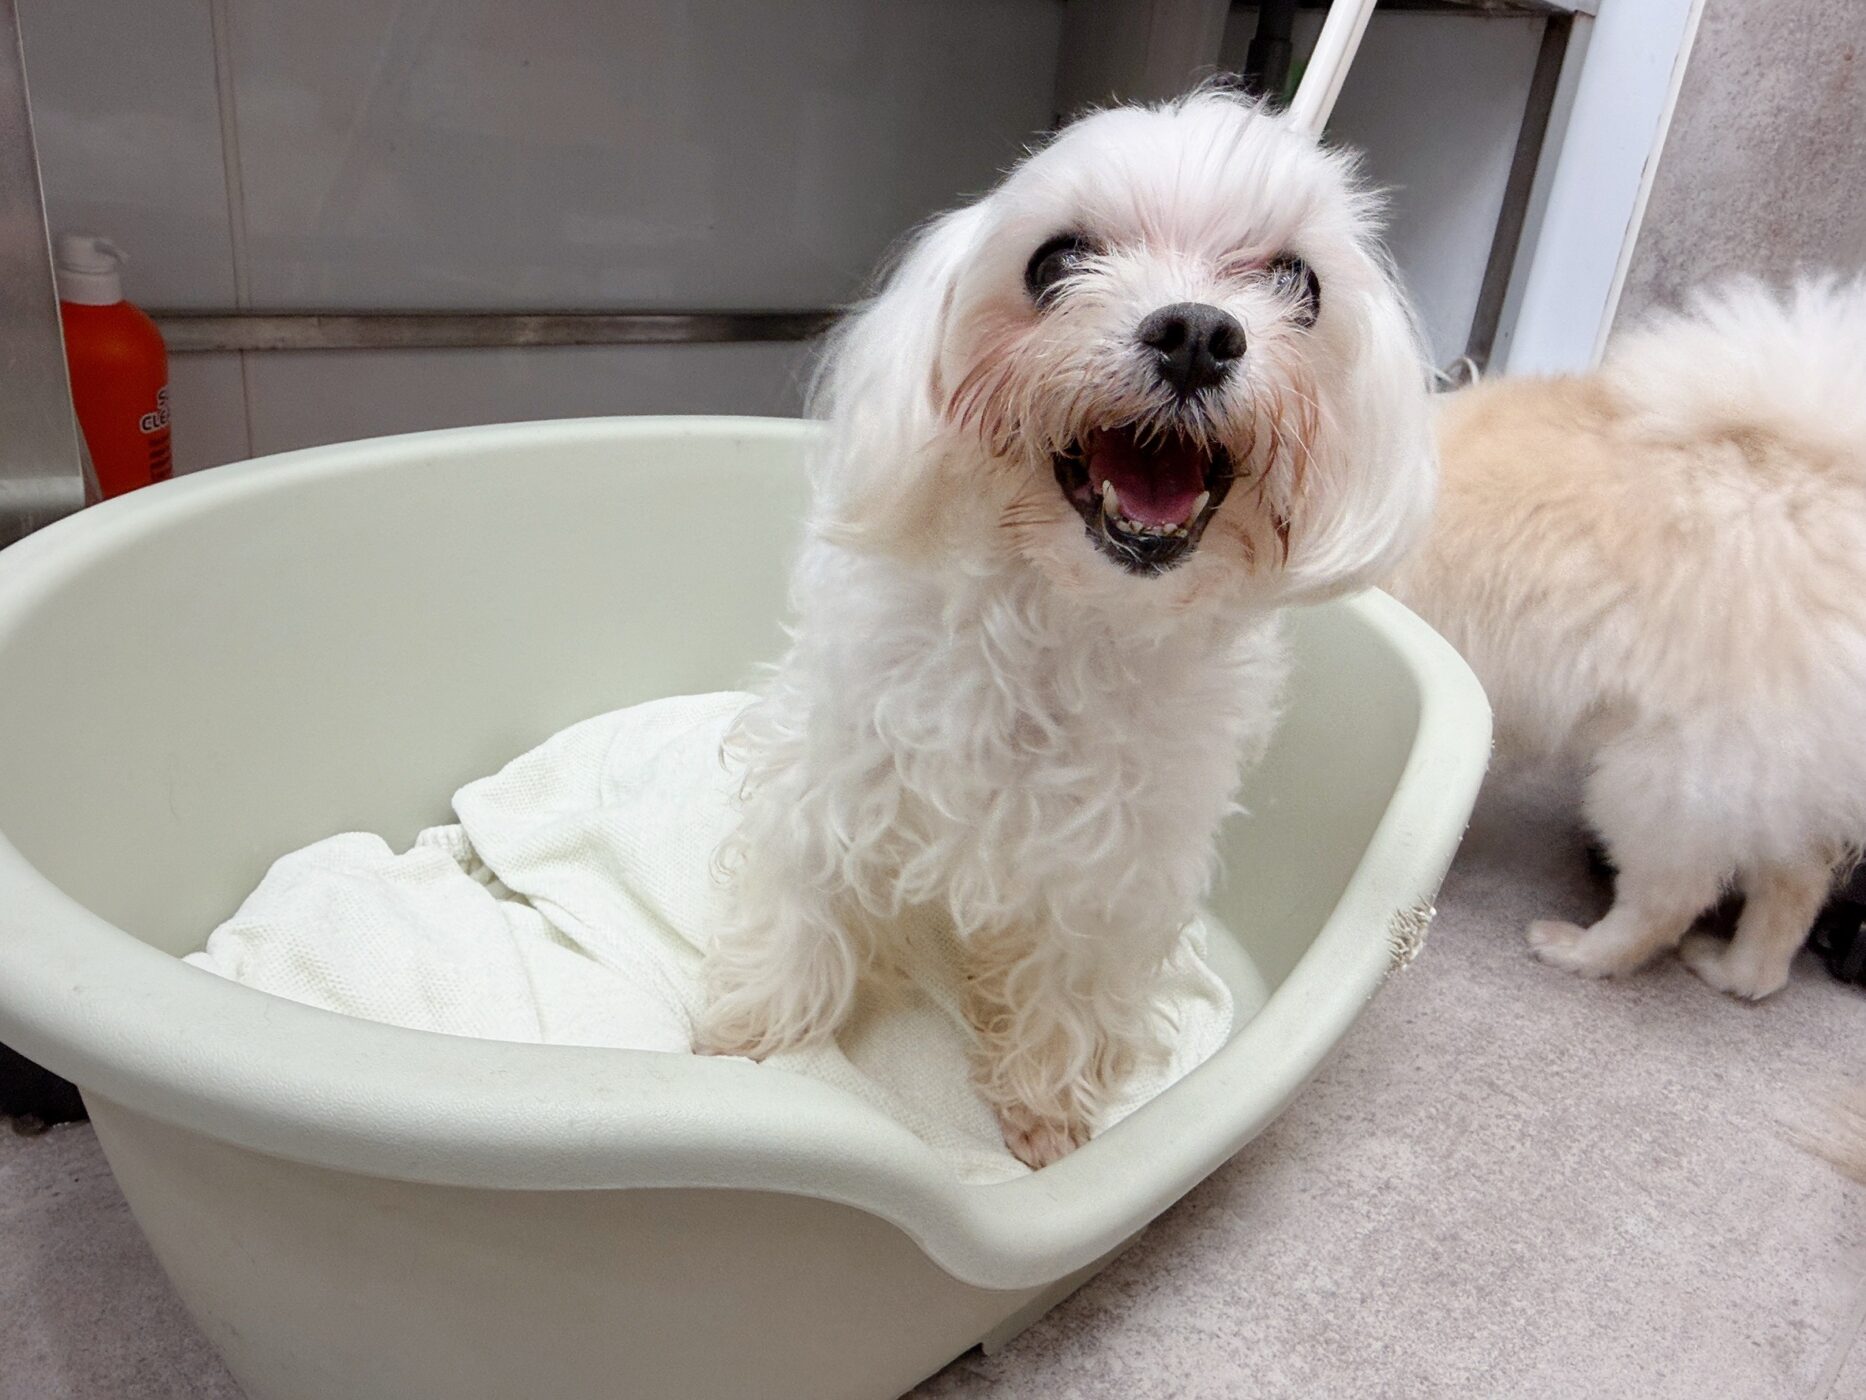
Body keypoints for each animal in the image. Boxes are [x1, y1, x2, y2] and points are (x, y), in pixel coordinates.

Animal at [696, 91, 1435, 1168]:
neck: (1067, 622)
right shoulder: (837, 772)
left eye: (1299, 282)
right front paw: (751, 1032)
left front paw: (1046, 1112)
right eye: (1054, 260)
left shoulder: (1117, 869)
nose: (1196, 332)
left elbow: (1070, 982)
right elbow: (808, 899)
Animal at [1391, 274, 1866, 1001]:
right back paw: (1736, 973)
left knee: (1671, 898)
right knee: (1794, 883)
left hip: (1664, 775)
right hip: (1767, 776)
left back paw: (1579, 951)